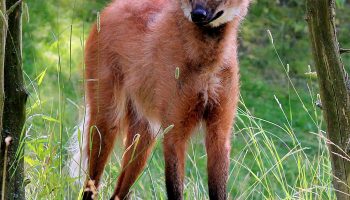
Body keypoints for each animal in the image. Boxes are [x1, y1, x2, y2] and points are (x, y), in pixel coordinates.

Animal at [69, 0, 250, 199]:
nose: (197, 15)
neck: (207, 63)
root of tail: (111, 7)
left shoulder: (219, 134)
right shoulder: (174, 134)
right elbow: (175, 188)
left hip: (143, 139)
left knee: (119, 192)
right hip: (107, 122)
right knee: (91, 183)